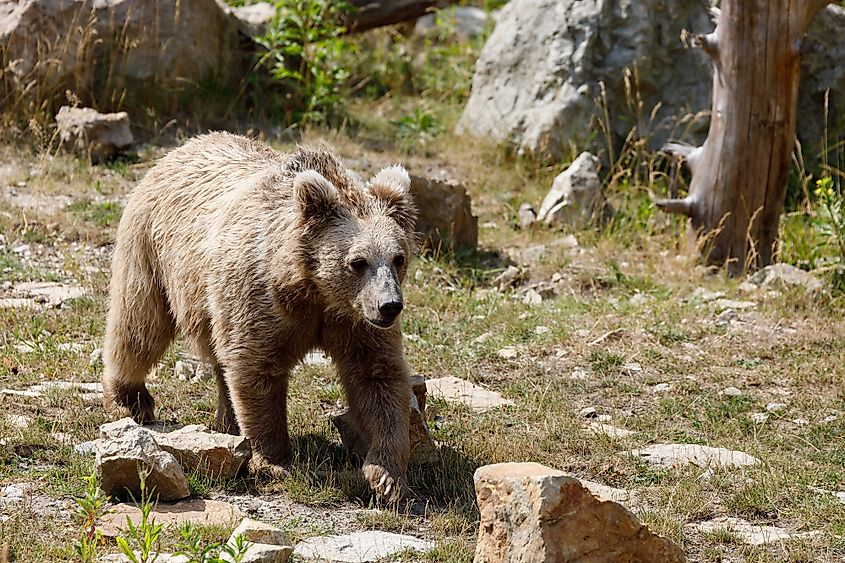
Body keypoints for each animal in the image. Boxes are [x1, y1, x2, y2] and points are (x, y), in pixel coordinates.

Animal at [103, 132, 418, 502]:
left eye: (398, 257)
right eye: (358, 261)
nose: (390, 306)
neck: (314, 291)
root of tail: (181, 148)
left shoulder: (355, 322)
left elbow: (378, 378)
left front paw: (387, 477)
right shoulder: (261, 298)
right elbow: (257, 370)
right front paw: (273, 461)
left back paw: (226, 420)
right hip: (152, 250)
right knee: (139, 324)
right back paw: (131, 398)